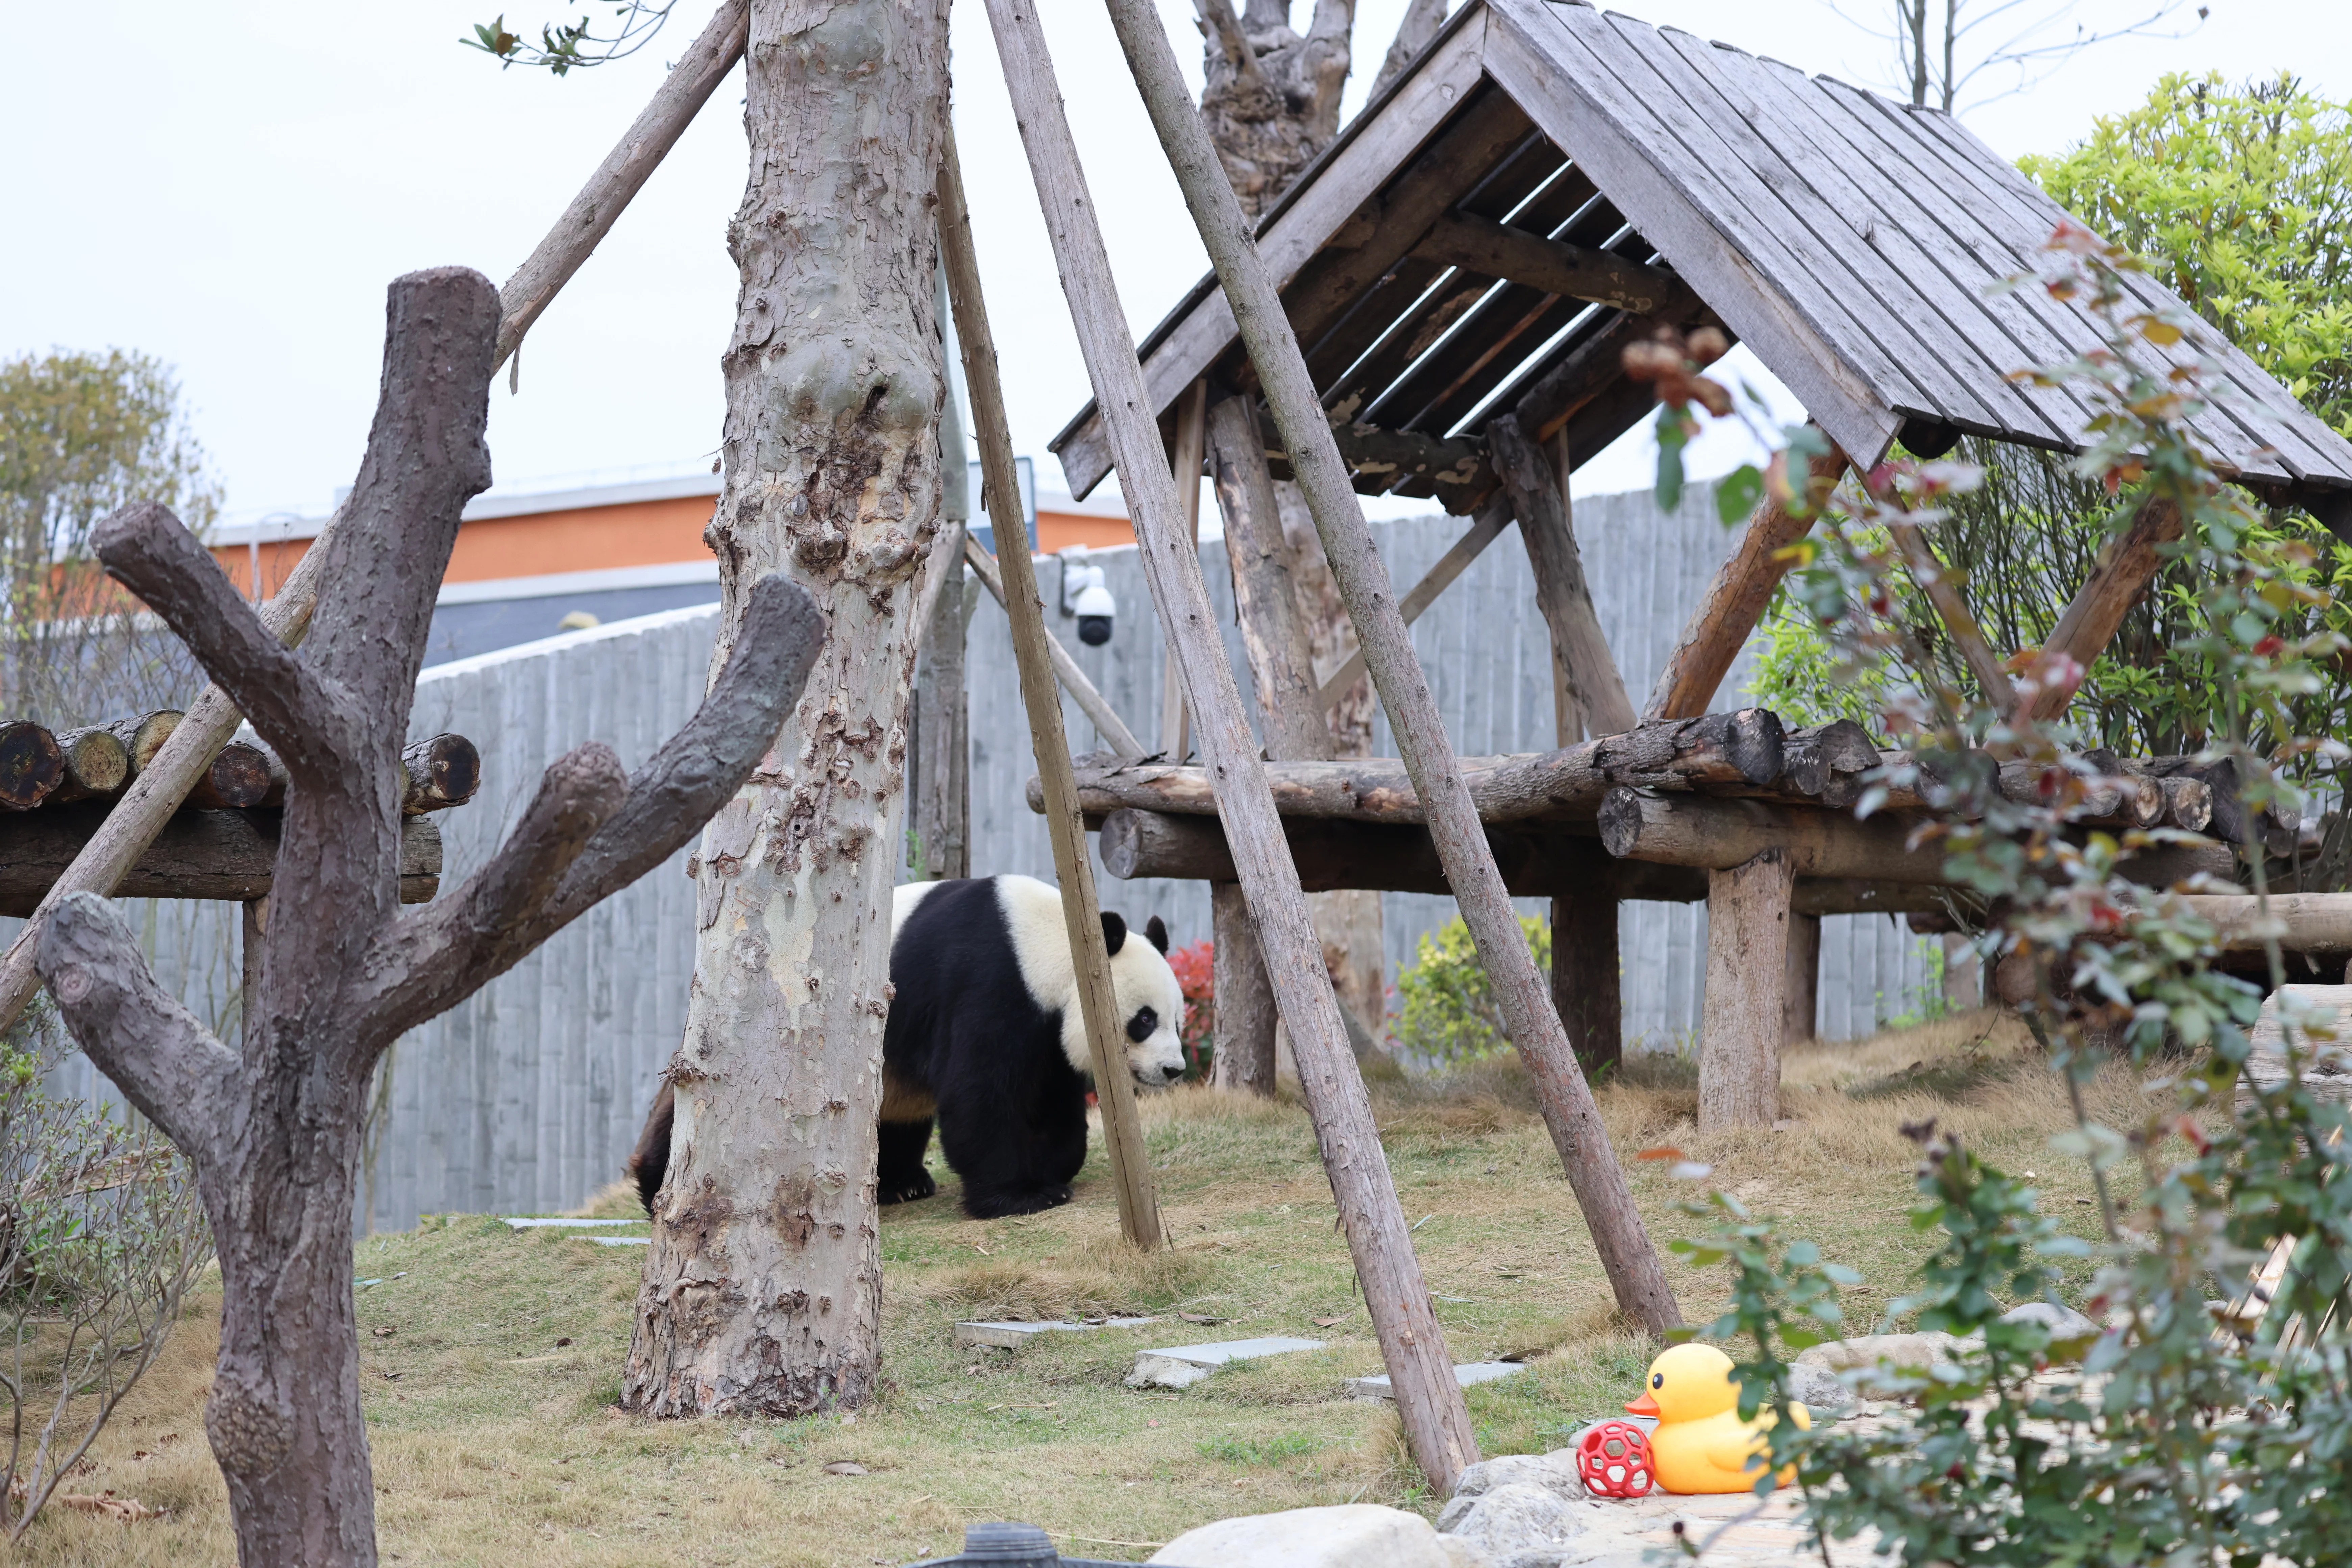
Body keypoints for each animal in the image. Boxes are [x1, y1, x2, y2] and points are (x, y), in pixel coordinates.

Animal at [628, 874, 1188, 1221]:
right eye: (1143, 1020)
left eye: (1177, 1019)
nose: (1174, 1069)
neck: (1046, 939)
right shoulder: (990, 980)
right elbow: (979, 1094)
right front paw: (1022, 1195)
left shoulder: (1046, 1025)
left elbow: (1052, 1095)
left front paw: (1053, 1168)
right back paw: (656, 1185)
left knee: (893, 1115)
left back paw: (902, 1184)